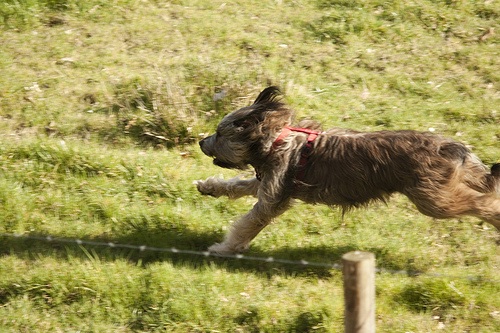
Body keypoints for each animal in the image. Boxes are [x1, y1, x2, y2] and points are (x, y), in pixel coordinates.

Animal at [198, 86, 500, 254]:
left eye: (219, 134)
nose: (201, 141)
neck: (275, 141)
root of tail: (449, 146)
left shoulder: (272, 198)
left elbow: (246, 225)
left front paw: (224, 248)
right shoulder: (265, 182)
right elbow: (235, 185)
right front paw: (209, 186)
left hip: (434, 200)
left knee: (483, 202)